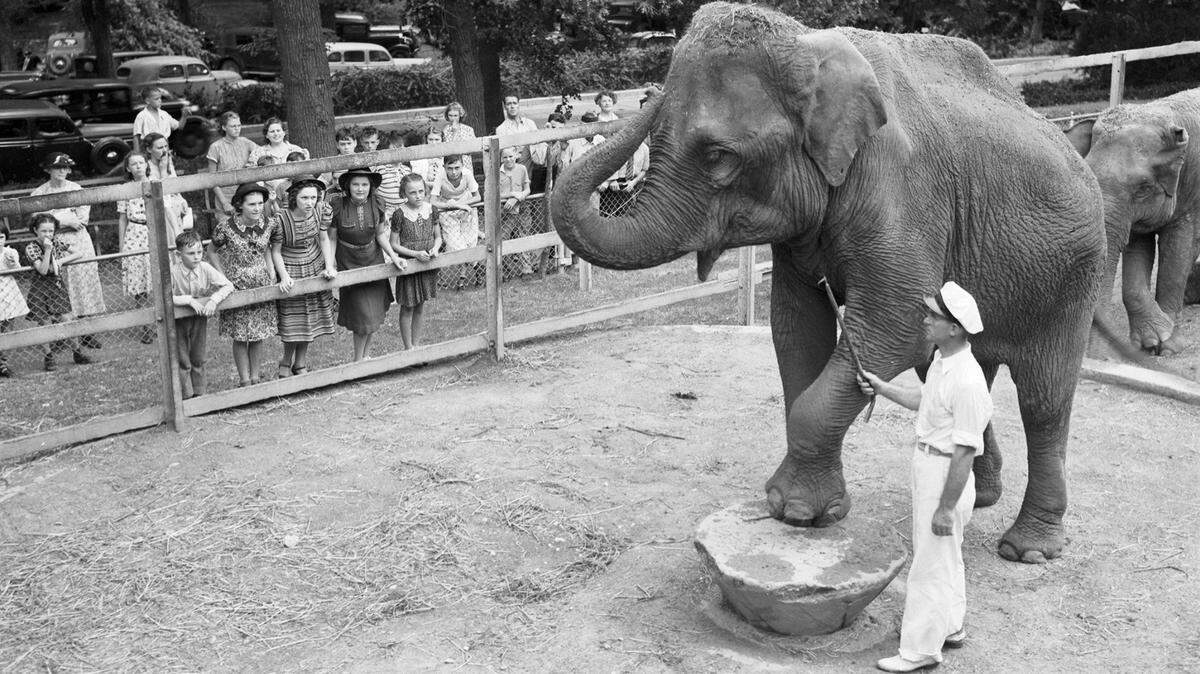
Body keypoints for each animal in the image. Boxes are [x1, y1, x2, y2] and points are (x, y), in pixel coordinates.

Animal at [549, 2, 1108, 563]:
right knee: (957, 371)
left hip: (1076, 272)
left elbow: (893, 327)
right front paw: (803, 509)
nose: (643, 98)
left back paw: (1028, 548)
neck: (810, 47)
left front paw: (795, 510)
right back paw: (981, 497)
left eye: (720, 156)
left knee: (1043, 399)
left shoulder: (902, 189)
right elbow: (797, 328)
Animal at [1065, 91, 1198, 356]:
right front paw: (1150, 342)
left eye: (1143, 187)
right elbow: (1138, 249)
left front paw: (1168, 346)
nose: (1099, 356)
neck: (1162, 111)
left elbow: (1177, 250)